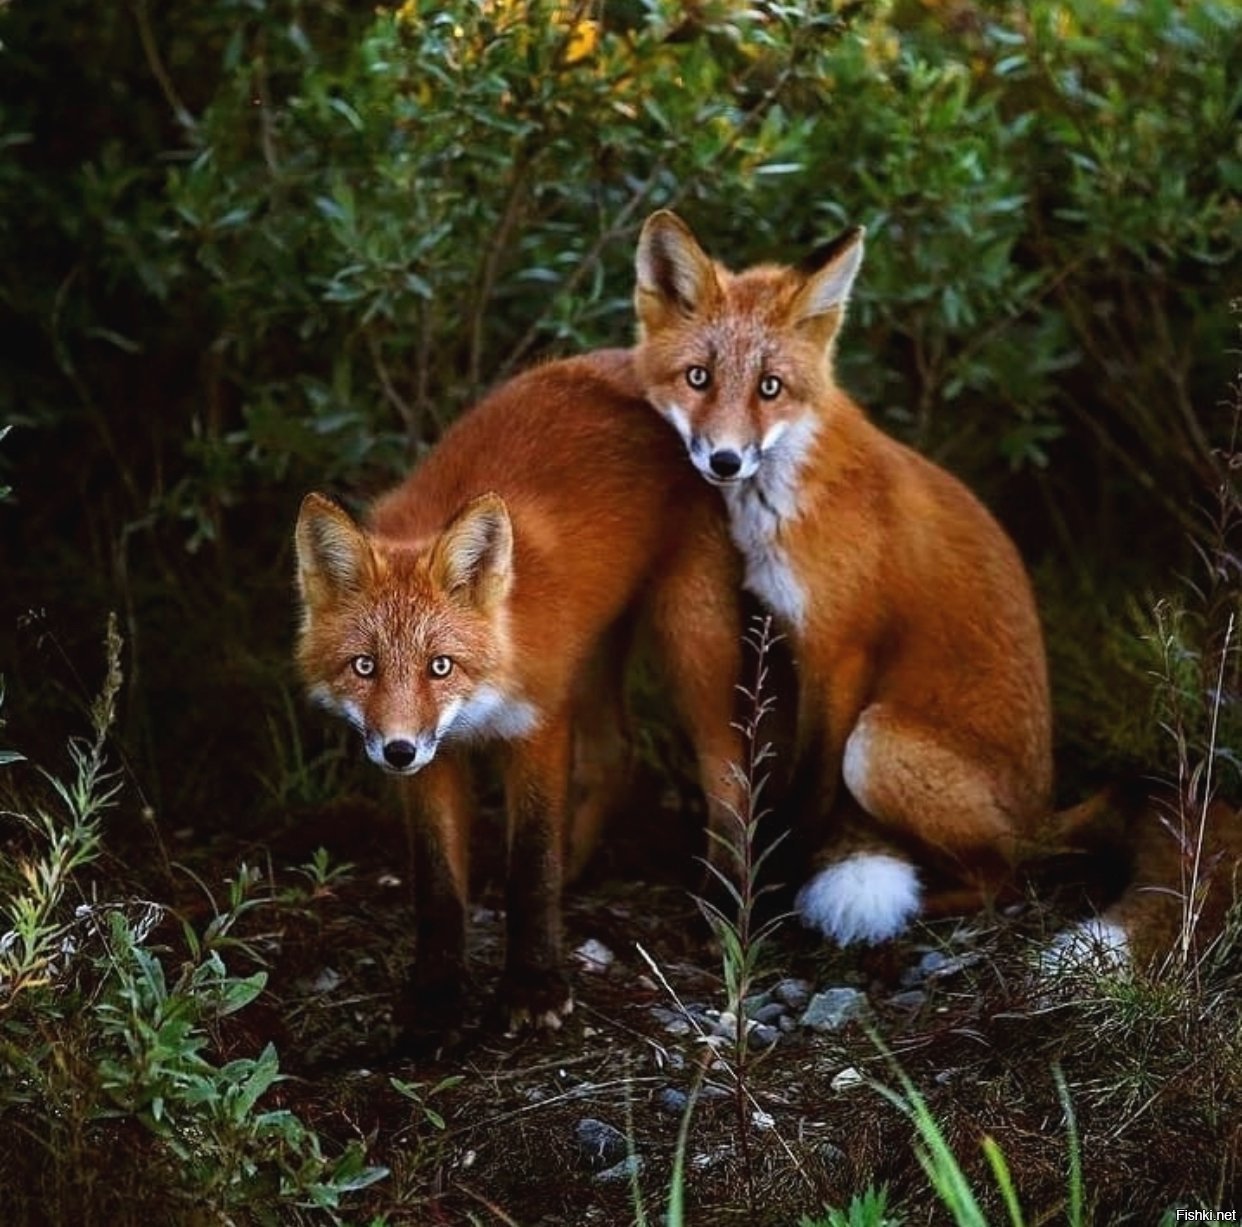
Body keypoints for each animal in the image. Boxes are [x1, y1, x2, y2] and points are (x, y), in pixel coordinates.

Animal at [295, 350, 740, 1028]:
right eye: (364, 666)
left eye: (440, 666)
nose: (396, 751)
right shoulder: (434, 759)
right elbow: (438, 887)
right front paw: (436, 996)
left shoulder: (538, 723)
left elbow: (529, 866)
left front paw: (534, 986)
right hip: (592, 651)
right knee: (618, 753)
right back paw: (578, 867)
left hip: (692, 637)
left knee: (729, 770)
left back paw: (723, 908)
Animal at [635, 211, 1237, 963]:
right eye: (698, 377)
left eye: (770, 387)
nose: (724, 459)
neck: (784, 496)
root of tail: (1044, 812)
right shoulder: (778, 633)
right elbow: (763, 774)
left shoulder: (841, 650)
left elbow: (809, 792)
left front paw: (780, 892)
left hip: (879, 742)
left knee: (1005, 874)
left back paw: (919, 904)